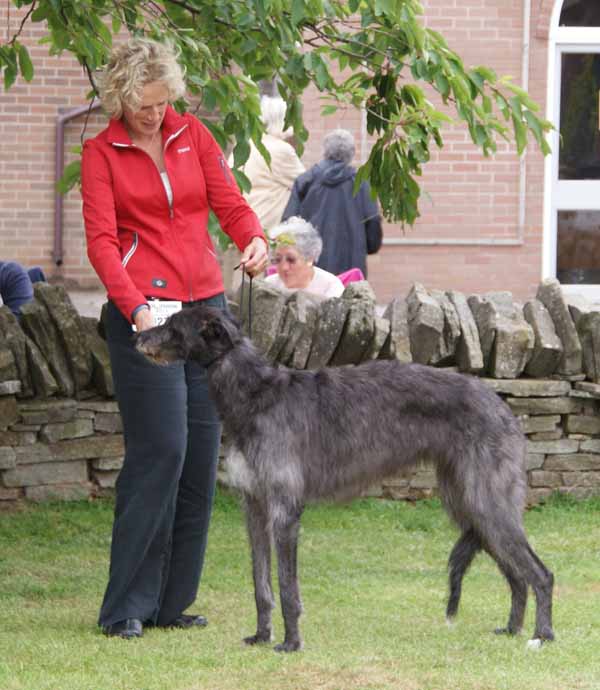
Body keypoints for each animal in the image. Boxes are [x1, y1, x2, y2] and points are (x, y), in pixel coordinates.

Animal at [136, 306, 552, 652]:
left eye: (173, 326)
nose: (138, 337)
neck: (255, 395)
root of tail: (502, 406)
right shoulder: (253, 506)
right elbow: (261, 584)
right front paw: (261, 636)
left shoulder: (285, 510)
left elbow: (286, 586)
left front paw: (291, 643)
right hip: (470, 504)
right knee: (517, 575)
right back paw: (512, 629)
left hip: (487, 500)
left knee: (540, 573)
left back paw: (541, 636)